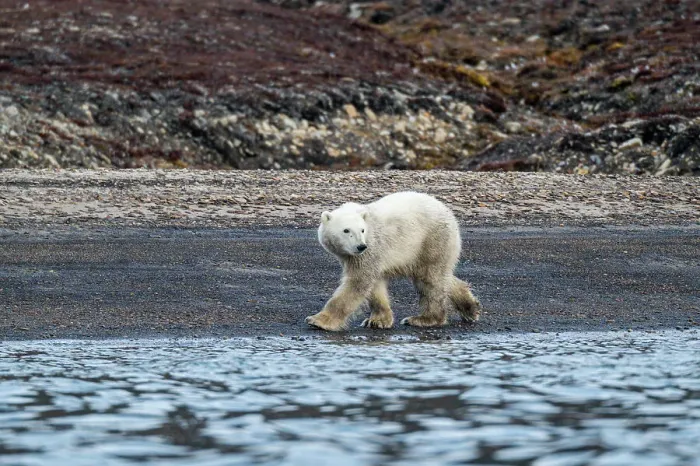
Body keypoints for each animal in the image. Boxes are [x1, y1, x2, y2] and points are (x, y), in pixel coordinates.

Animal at [305, 191, 481, 331]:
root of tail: (448, 212)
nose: (361, 246)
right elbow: (375, 285)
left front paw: (318, 321)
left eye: (362, 230)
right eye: (346, 230)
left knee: (430, 278)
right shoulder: (368, 255)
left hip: (432, 239)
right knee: (441, 276)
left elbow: (358, 282)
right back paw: (471, 308)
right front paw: (378, 320)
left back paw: (424, 319)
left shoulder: (371, 247)